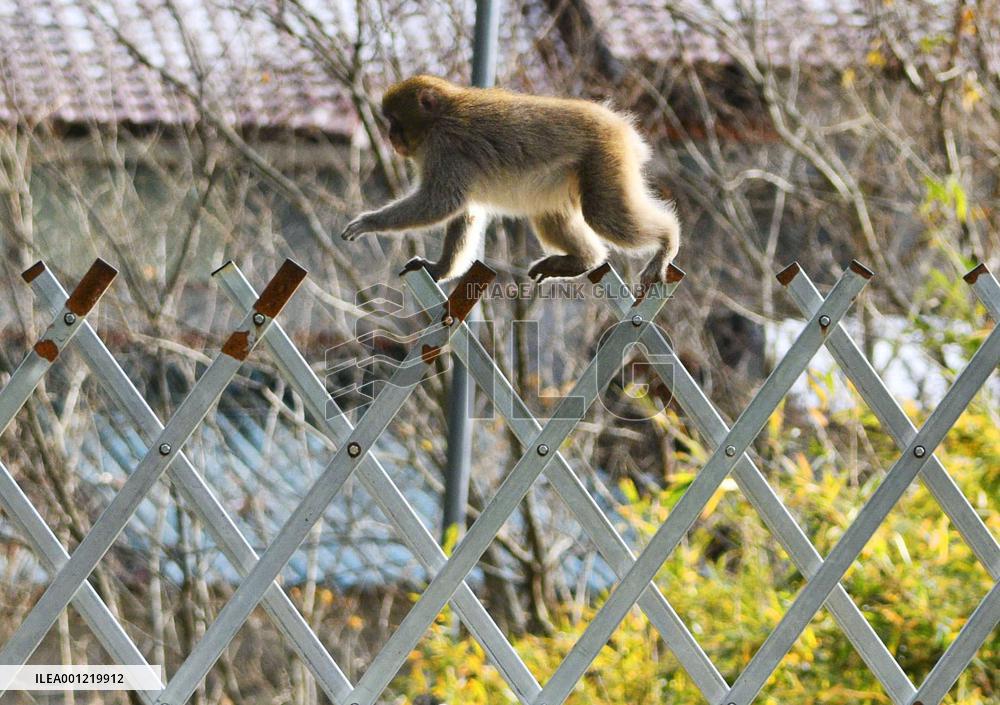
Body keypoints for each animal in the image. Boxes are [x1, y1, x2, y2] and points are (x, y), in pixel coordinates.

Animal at [341, 75, 680, 288]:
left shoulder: (445, 148)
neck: (440, 117)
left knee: (603, 214)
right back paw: (584, 261)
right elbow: (464, 209)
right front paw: (441, 269)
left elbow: (442, 202)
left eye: (395, 122)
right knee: (551, 215)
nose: (391, 137)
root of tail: (622, 127)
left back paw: (667, 241)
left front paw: (369, 222)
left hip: (606, 158)